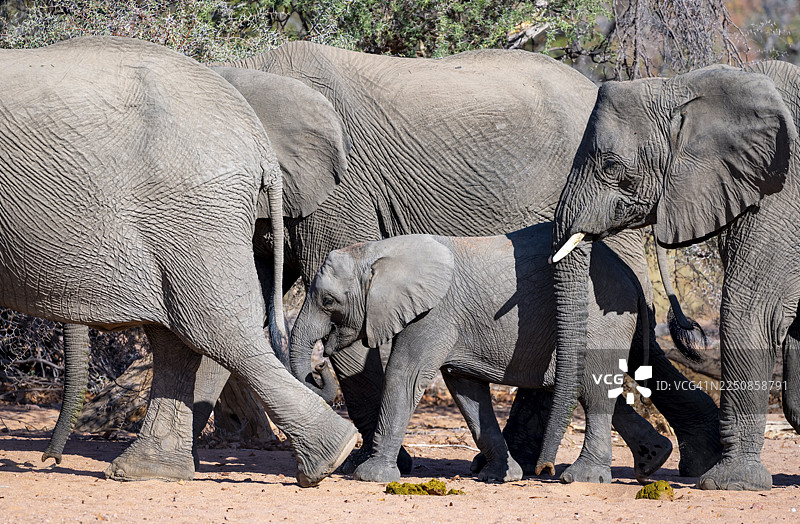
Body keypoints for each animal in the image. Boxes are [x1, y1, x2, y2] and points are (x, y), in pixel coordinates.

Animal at [0, 36, 357, 487]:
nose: (48, 460)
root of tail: (253, 137)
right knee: (180, 331)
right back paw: (148, 469)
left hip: (186, 209)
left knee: (214, 326)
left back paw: (328, 460)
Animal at [291, 223, 696, 484]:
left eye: (328, 301)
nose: (319, 365)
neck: (378, 251)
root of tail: (632, 277)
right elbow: (466, 392)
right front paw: (499, 475)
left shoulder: (435, 313)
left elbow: (405, 377)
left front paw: (371, 476)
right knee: (590, 387)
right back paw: (652, 460)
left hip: (603, 322)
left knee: (594, 393)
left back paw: (583, 478)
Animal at [549, 60, 800, 490]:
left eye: (611, 166)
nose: (545, 471)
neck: (685, 88)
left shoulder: (780, 193)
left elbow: (752, 312)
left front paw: (729, 482)